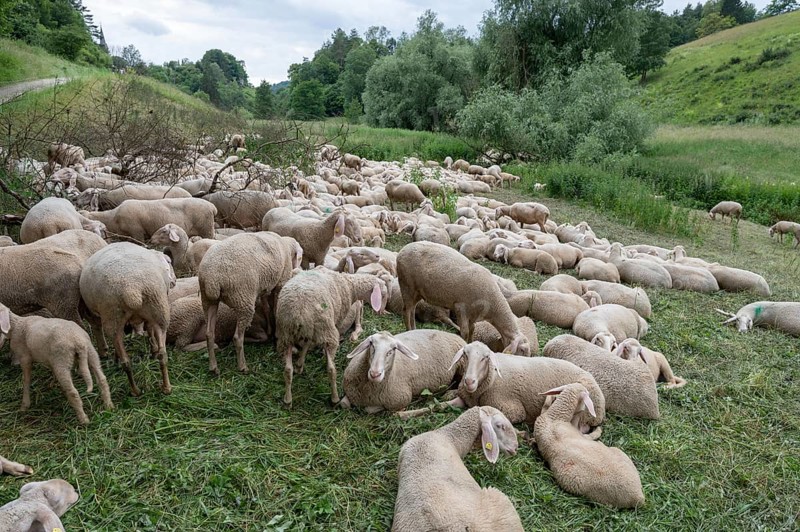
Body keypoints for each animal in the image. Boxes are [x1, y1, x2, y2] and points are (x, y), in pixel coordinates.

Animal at [80, 242, 176, 396]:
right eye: (169, 262)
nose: (174, 281)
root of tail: (132, 289)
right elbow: (149, 329)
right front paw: (153, 350)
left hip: (115, 318)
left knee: (125, 357)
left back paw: (135, 389)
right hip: (158, 310)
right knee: (162, 355)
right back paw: (164, 387)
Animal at [200, 232, 301, 374]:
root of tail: (212, 279)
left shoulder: (264, 287)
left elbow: (266, 308)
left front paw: (270, 330)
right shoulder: (279, 284)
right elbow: (275, 311)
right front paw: (276, 335)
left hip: (208, 301)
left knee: (209, 334)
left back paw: (213, 367)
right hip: (243, 300)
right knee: (237, 337)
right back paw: (243, 366)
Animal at [276, 269, 388, 406]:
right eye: (383, 294)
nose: (381, 312)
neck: (350, 285)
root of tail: (299, 313)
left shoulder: (310, 331)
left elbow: (306, 345)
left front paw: (299, 364)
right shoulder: (335, 321)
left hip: (286, 335)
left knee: (287, 370)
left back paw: (288, 400)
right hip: (327, 331)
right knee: (331, 369)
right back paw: (334, 398)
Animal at [397, 242, 531, 356]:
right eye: (522, 350)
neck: (493, 304)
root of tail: (403, 249)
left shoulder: (473, 314)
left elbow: (472, 330)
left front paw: (471, 343)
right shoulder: (461, 307)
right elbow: (465, 332)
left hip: (417, 291)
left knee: (412, 310)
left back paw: (413, 330)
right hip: (407, 285)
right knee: (406, 310)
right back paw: (409, 329)